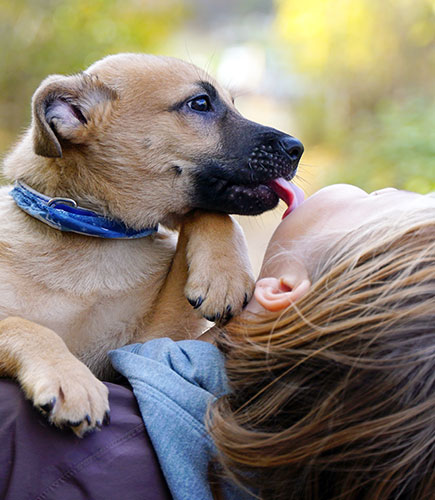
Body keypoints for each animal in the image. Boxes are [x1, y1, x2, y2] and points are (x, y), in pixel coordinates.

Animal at [0, 54, 304, 436]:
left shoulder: (148, 345)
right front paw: (70, 378)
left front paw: (224, 277)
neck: (92, 230)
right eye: (200, 103)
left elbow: (212, 213)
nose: (298, 148)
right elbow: (24, 326)